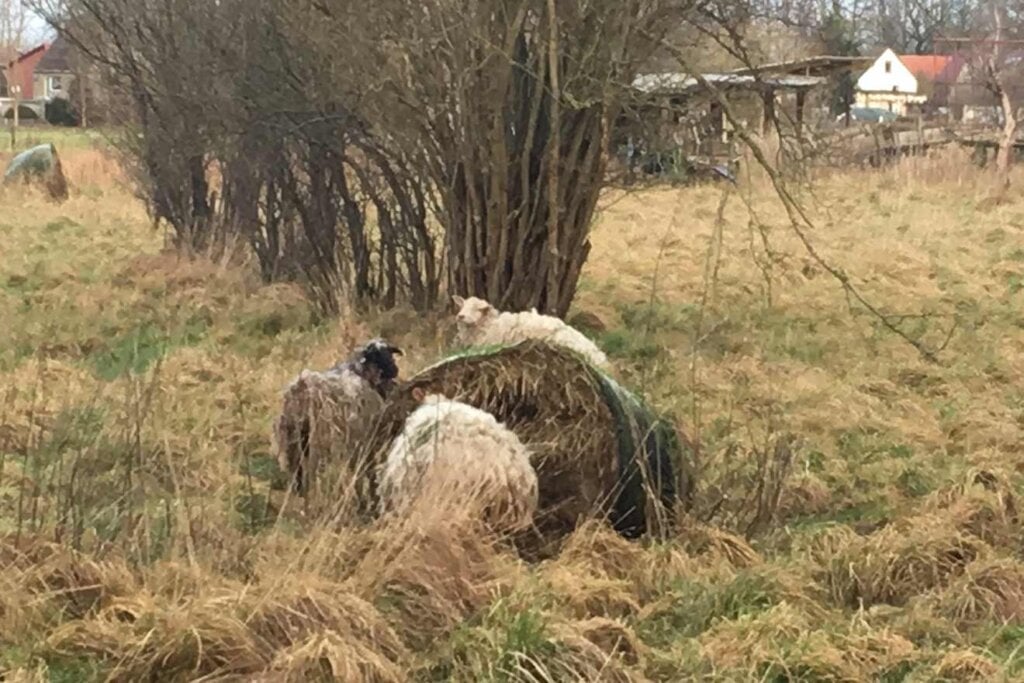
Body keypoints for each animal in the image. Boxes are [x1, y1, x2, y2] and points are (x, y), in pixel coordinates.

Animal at [274, 338, 403, 494]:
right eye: (376, 354)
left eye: (389, 351)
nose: (395, 370)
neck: (361, 373)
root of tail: (302, 389)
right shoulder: (362, 438)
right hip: (319, 442)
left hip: (293, 442)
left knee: (297, 474)